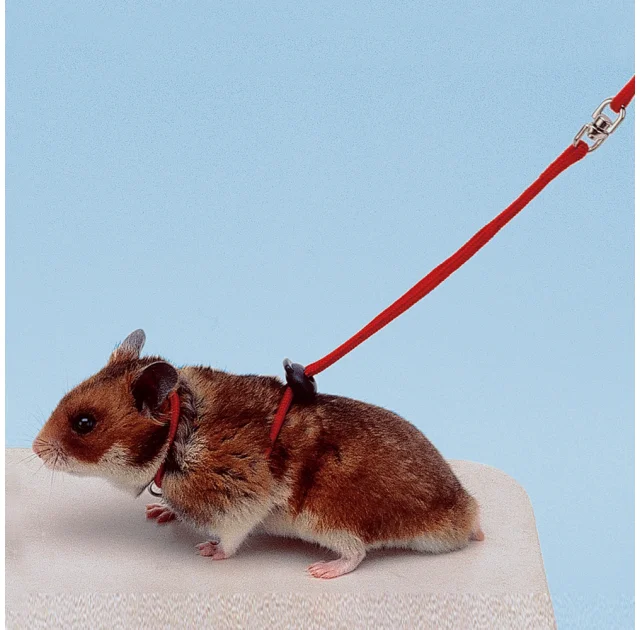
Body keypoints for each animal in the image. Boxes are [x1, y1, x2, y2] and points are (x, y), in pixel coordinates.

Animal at [33, 329, 484, 579]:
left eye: (84, 423)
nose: (35, 450)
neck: (176, 437)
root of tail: (464, 514)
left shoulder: (242, 498)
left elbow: (232, 538)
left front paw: (208, 551)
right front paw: (158, 512)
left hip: (332, 520)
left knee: (356, 553)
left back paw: (321, 571)